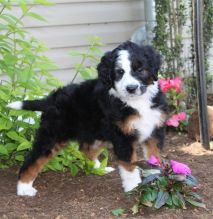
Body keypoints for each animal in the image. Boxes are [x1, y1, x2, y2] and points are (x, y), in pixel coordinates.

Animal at [7, 41, 167, 197]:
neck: (137, 102)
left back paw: (99, 168)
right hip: (53, 134)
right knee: (33, 158)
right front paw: (134, 187)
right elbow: (129, 166)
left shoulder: (154, 132)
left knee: (86, 149)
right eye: (119, 72)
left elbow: (154, 157)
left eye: (140, 70)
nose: (131, 88)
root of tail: (51, 99)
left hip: (97, 133)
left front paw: (155, 179)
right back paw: (24, 187)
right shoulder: (122, 137)